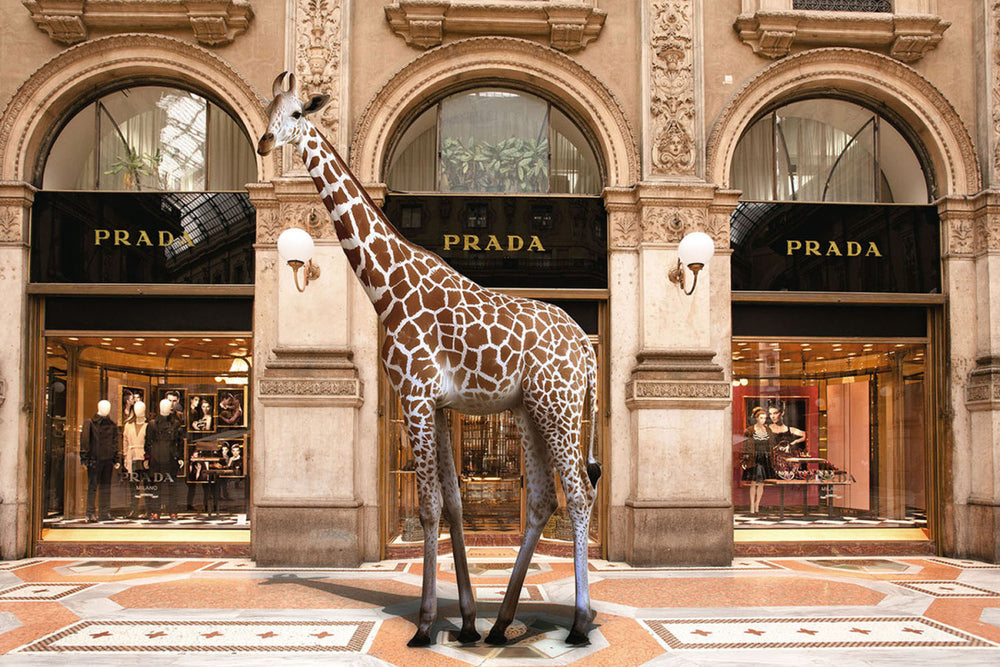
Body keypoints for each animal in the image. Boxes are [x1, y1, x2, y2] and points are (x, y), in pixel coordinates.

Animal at [258, 72, 602, 647]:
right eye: (268, 111)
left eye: (298, 114)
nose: (264, 143)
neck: (387, 287)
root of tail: (584, 344)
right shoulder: (437, 405)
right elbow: (454, 504)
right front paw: (464, 620)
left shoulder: (415, 397)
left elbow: (427, 506)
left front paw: (423, 625)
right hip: (529, 410)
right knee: (542, 501)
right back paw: (501, 623)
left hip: (560, 409)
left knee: (578, 495)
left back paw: (577, 622)